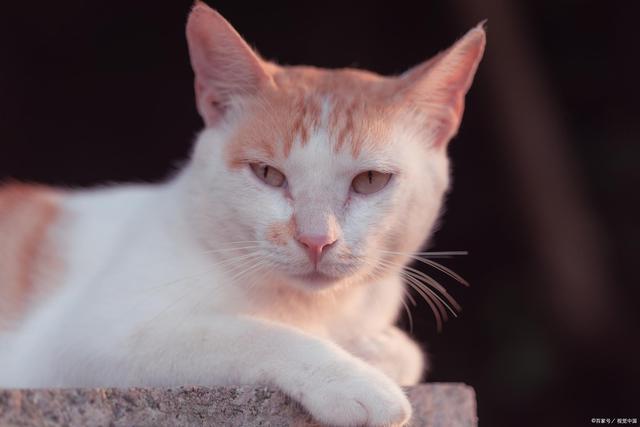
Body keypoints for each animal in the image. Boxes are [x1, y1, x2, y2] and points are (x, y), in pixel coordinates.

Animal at [0, 3, 484, 427]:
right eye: (268, 174)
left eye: (369, 181)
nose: (315, 239)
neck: (309, 308)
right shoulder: (87, 338)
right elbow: (247, 332)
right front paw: (354, 380)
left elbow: (406, 352)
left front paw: (372, 348)